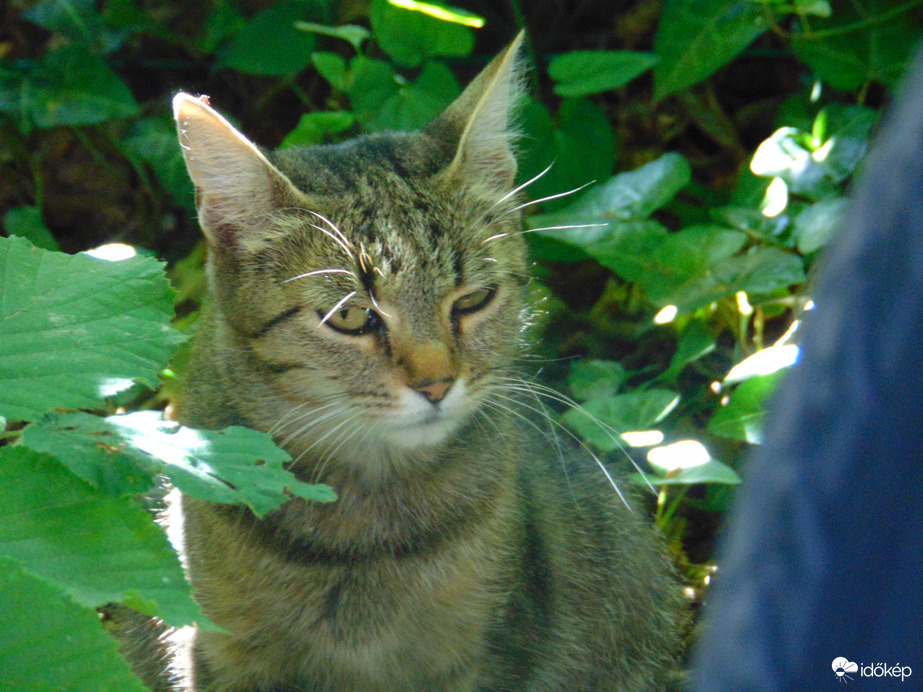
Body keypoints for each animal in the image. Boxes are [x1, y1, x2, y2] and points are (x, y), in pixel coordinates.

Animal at [141, 32, 688, 692]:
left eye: (473, 300)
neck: (362, 535)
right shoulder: (219, 653)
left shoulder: (489, 651)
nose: (437, 383)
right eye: (352, 317)